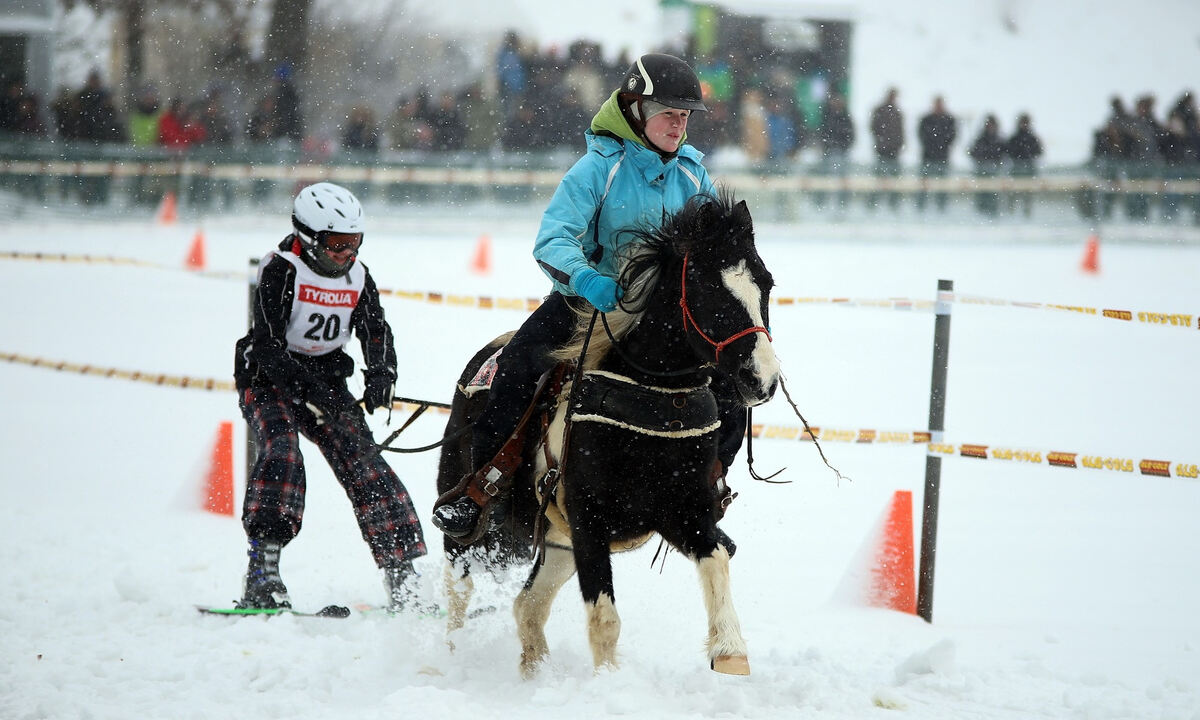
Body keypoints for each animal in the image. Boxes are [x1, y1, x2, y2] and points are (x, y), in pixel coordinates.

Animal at [436, 189, 782, 676]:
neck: (654, 402)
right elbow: (604, 619)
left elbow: (715, 561)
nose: (762, 379)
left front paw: (730, 652)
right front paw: (609, 680)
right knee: (459, 587)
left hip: (557, 543)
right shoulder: (590, 520)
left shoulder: (682, 511)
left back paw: (535, 670)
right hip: (471, 521)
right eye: (709, 289)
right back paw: (448, 656)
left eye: (766, 283)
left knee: (529, 605)